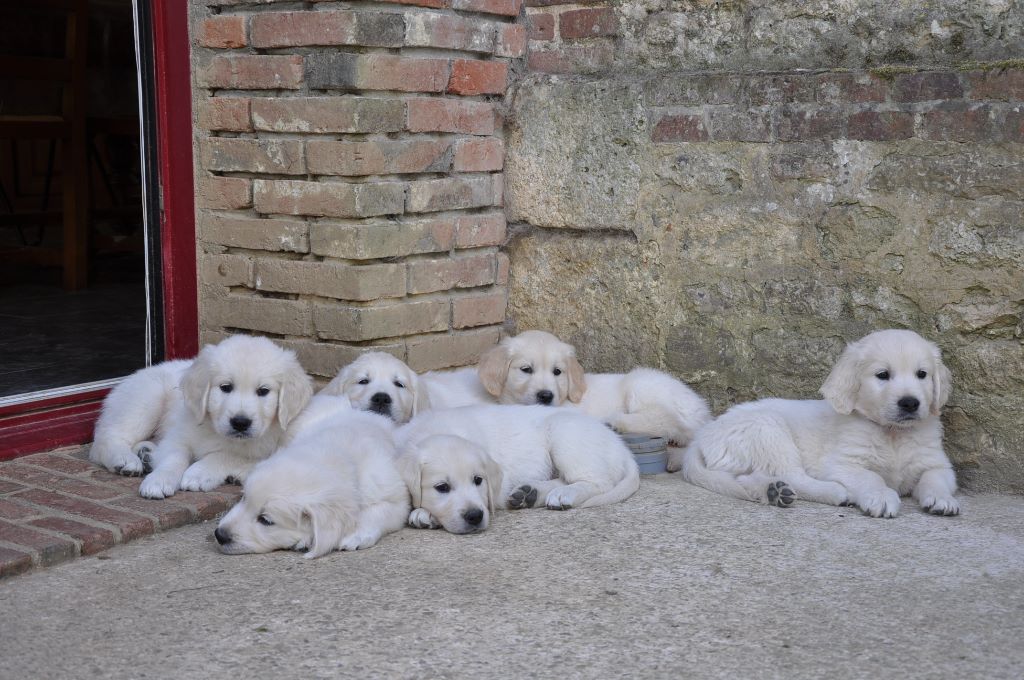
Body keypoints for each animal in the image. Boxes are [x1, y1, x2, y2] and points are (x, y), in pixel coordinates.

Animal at [88, 335, 311, 499]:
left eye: (263, 391)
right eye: (225, 387)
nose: (240, 423)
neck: (217, 432)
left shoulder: (270, 451)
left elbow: (225, 455)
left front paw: (199, 473)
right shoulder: (178, 436)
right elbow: (174, 457)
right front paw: (159, 481)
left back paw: (146, 452)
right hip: (147, 397)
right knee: (105, 440)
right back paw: (125, 459)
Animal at [214, 395, 409, 561]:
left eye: (265, 520)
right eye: (244, 499)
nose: (219, 535)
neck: (336, 449)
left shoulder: (396, 498)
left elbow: (379, 512)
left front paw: (357, 536)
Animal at [397, 405, 638, 532]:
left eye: (478, 480)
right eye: (442, 487)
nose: (475, 516)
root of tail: (620, 446)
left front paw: (423, 513)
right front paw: (425, 513)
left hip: (564, 433)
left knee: (598, 482)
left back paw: (563, 494)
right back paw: (530, 493)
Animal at [679, 327, 958, 516]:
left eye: (922, 374)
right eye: (882, 375)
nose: (910, 403)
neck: (893, 434)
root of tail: (703, 436)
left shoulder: (937, 463)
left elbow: (935, 477)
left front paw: (942, 499)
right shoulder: (842, 464)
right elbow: (870, 477)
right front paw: (880, 497)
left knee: (746, 480)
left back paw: (773, 491)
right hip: (767, 430)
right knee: (792, 475)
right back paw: (834, 493)